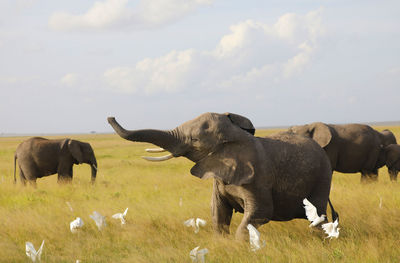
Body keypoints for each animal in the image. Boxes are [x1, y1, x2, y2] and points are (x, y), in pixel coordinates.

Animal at [107, 112, 338, 240]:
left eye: (195, 140)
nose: (110, 117)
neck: (235, 137)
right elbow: (218, 212)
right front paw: (222, 245)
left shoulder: (259, 177)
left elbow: (261, 212)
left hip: (323, 175)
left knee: (317, 214)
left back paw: (321, 239)